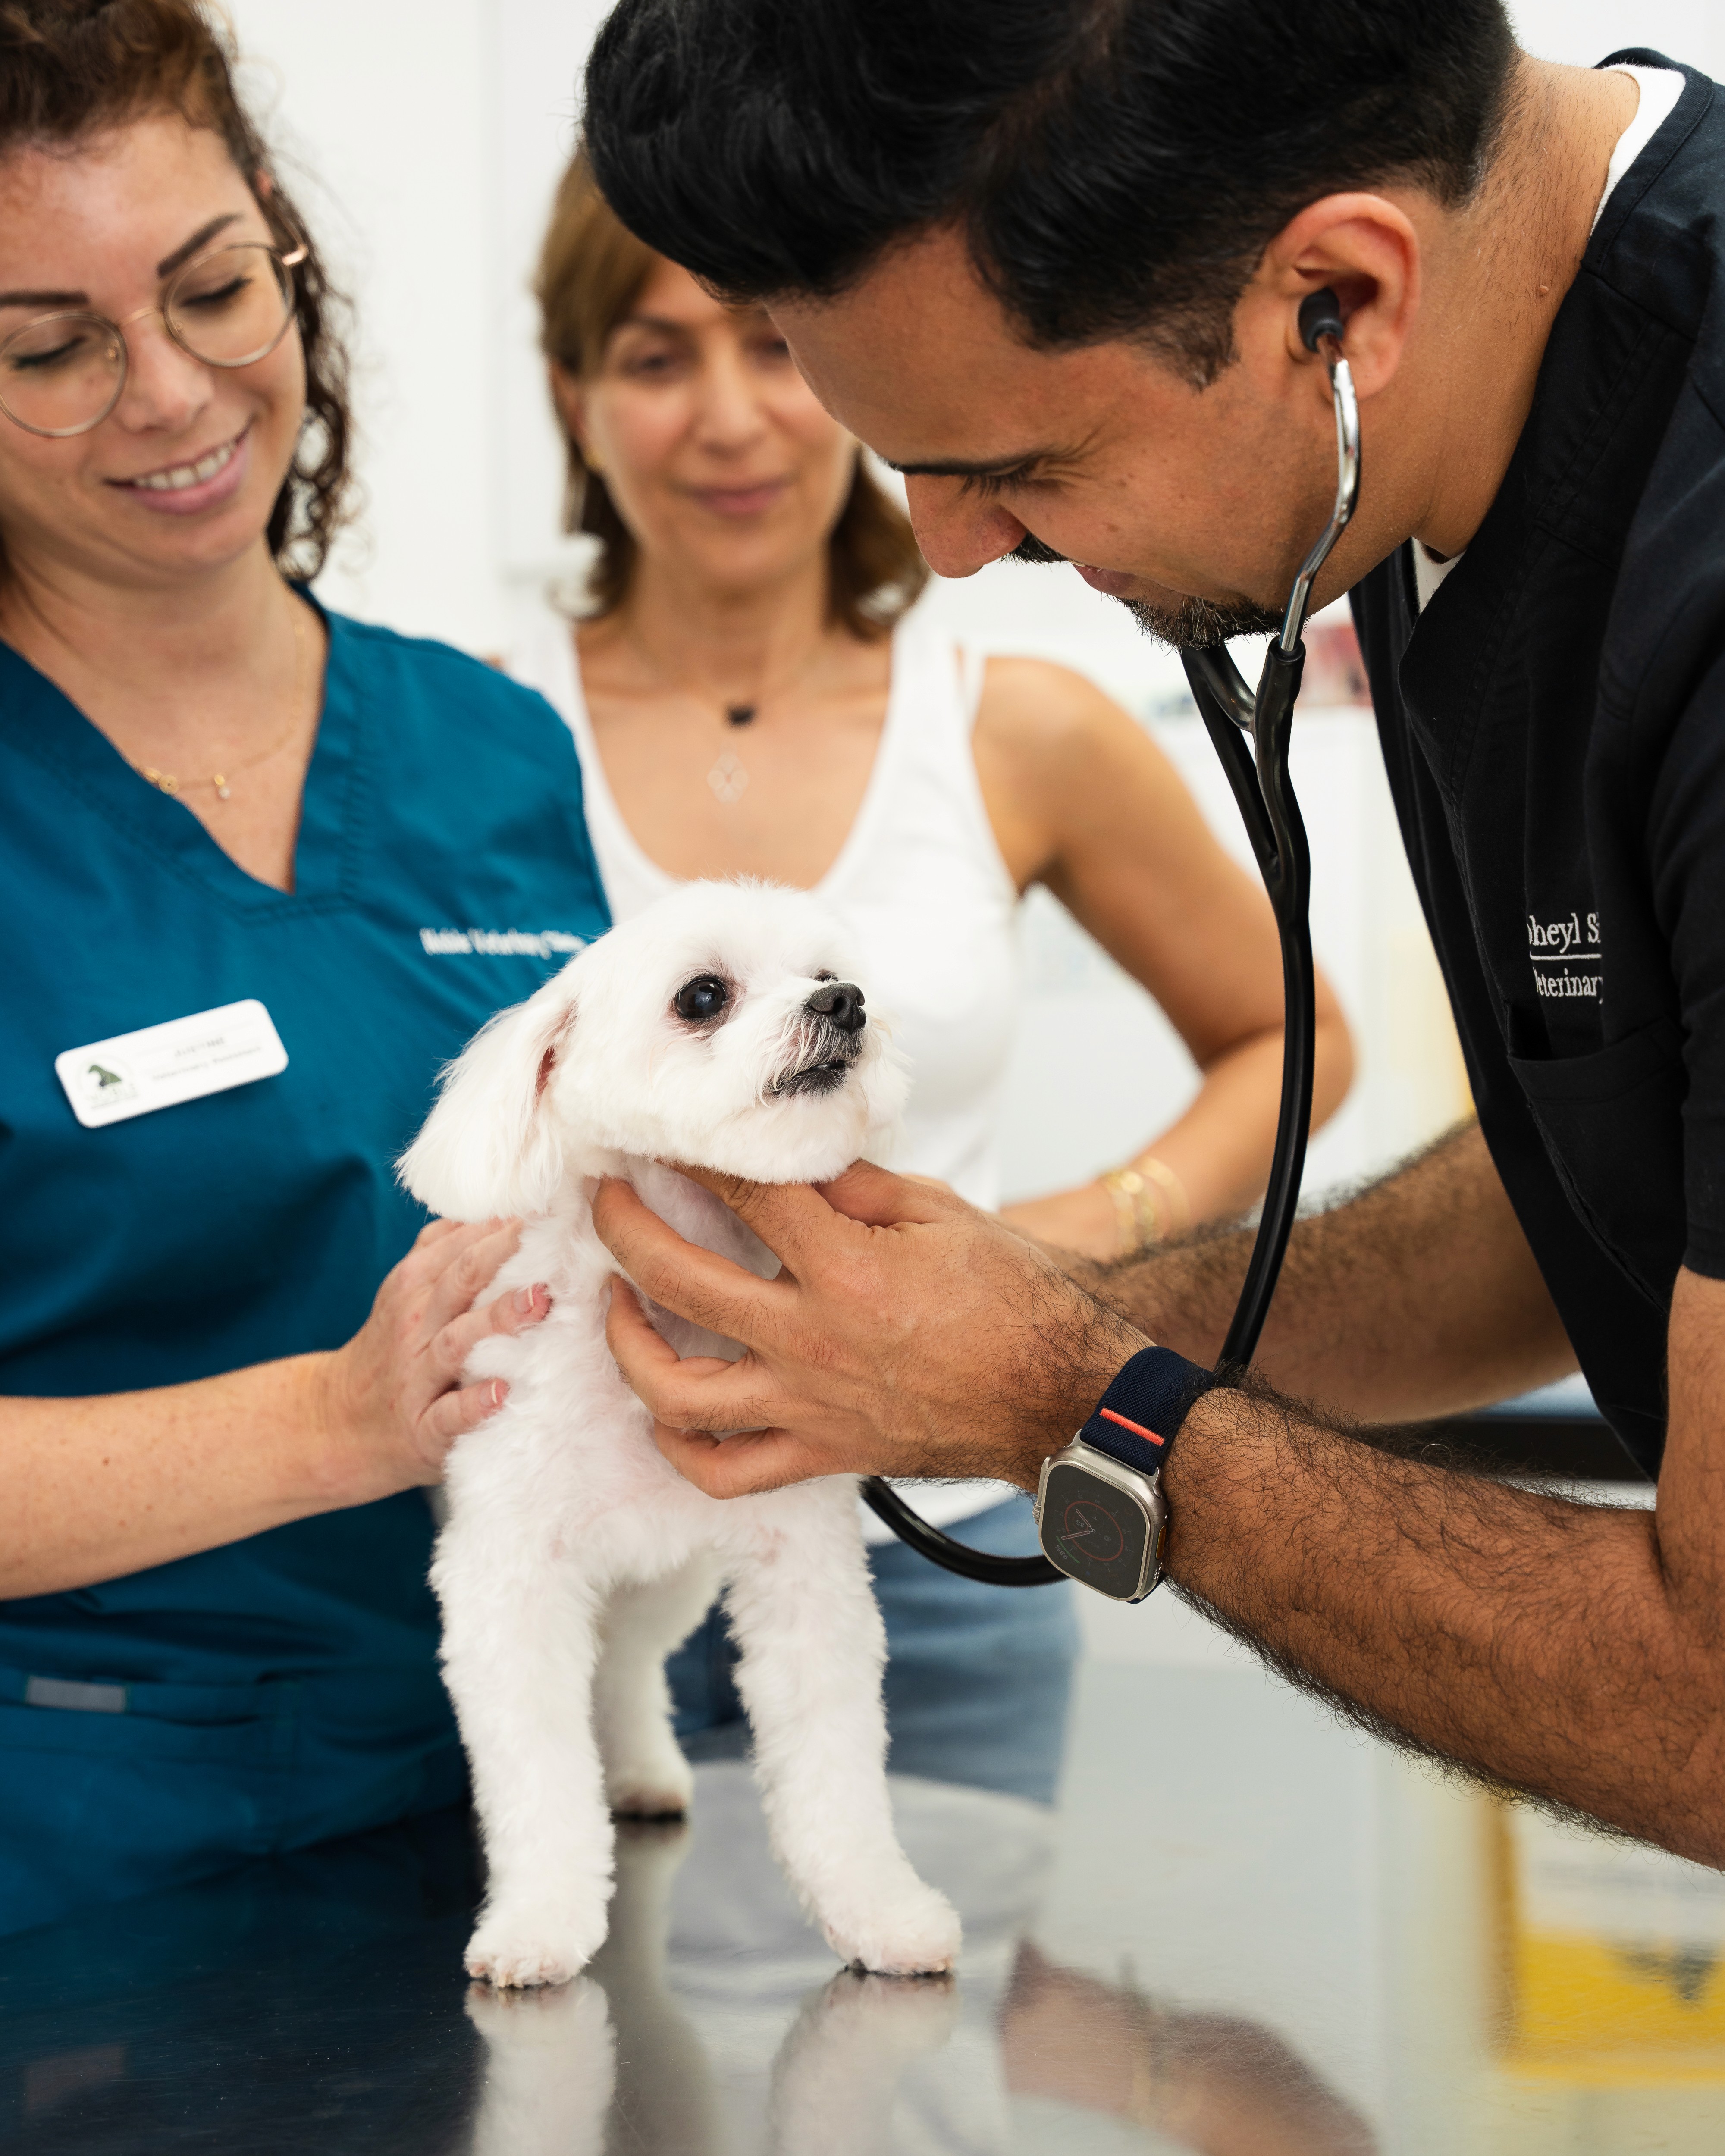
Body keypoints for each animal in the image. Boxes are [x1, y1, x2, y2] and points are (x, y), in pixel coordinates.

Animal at [401, 880, 957, 1984]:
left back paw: (643, 1771)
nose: (845, 1005)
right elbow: (536, 1775)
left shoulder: (802, 1569)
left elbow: (835, 1770)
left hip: (669, 1578)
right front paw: (539, 1921)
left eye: (829, 971)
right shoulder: (507, 1581)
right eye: (702, 995)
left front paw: (878, 1912)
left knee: (624, 1667)